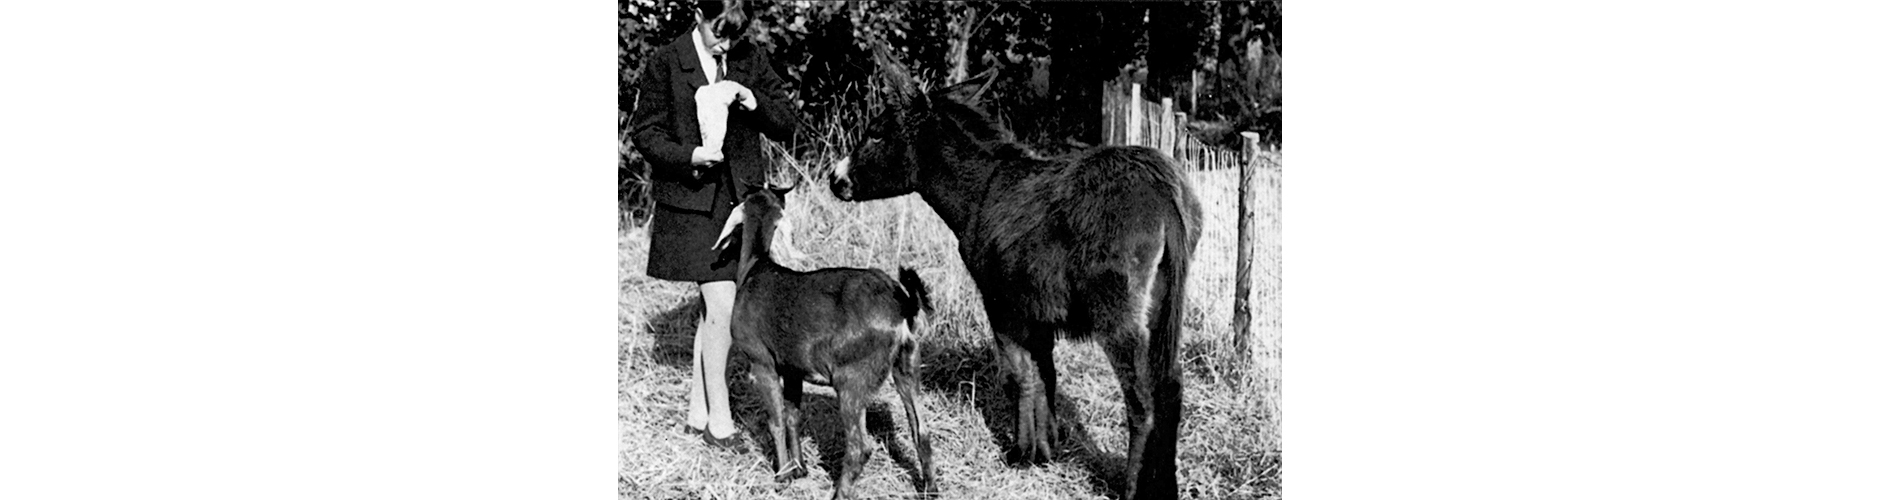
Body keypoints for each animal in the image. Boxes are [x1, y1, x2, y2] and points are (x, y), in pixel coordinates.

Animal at [714, 184, 934, 500]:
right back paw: (931, 490)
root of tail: (902, 304)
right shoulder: (793, 367)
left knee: (859, 447)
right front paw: (800, 468)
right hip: (907, 363)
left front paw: (782, 476)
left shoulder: (762, 361)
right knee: (921, 431)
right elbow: (792, 416)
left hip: (852, 378)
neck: (756, 268)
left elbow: (776, 420)